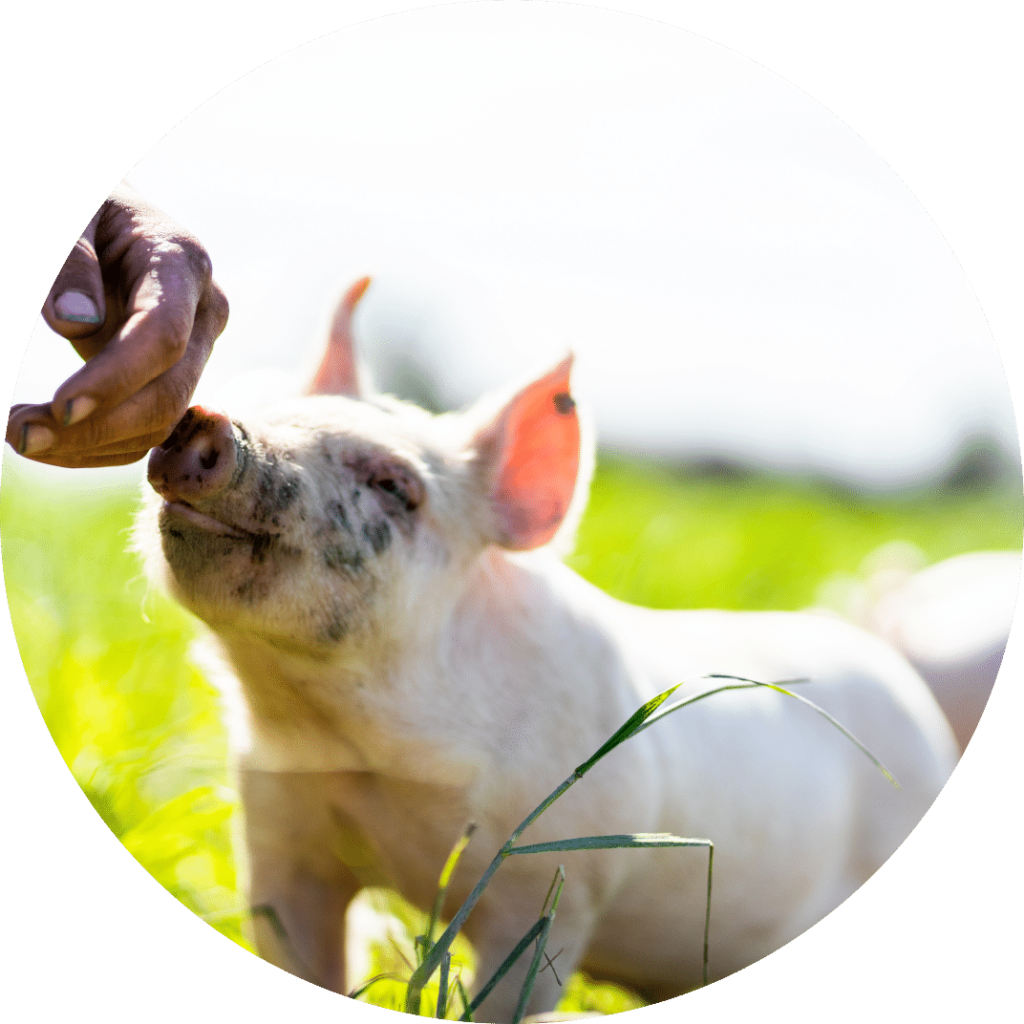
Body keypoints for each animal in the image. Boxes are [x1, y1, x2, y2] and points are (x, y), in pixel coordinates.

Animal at [135, 277, 958, 1022]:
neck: (362, 751)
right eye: (271, 412)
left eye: (394, 484)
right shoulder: (280, 829)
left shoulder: (556, 879)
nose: (205, 423)